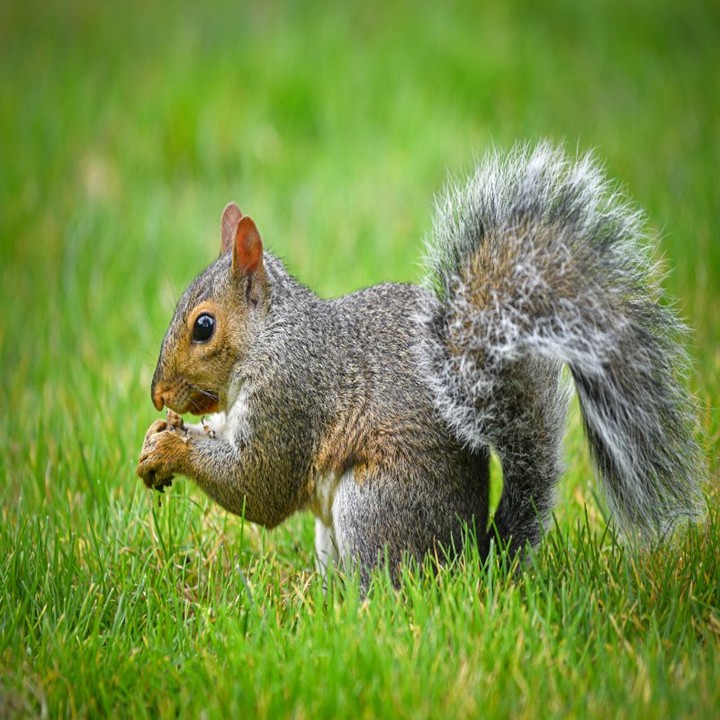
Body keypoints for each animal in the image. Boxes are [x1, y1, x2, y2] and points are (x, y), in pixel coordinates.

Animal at [136, 143, 706, 587]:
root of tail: (472, 563)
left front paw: (171, 449)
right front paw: (161, 436)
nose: (157, 395)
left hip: (373, 506)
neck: (272, 337)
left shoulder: (292, 395)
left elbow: (259, 485)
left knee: (387, 587)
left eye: (204, 326)